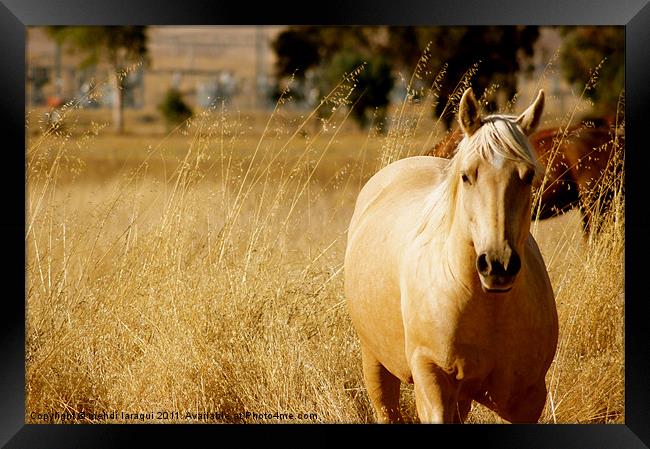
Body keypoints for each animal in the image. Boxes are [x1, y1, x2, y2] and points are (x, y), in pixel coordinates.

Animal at [344, 88, 556, 424]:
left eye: (527, 176)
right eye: (467, 176)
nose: (498, 265)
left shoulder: (528, 397)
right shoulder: (433, 380)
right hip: (375, 361)